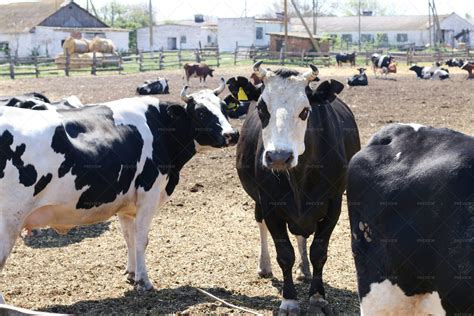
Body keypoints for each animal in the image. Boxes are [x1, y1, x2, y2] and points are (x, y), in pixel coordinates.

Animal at [0, 78, 239, 296]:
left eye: (224, 108)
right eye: (201, 112)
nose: (232, 135)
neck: (160, 127)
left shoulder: (126, 203)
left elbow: (129, 237)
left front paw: (131, 273)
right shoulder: (149, 194)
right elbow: (142, 238)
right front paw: (143, 281)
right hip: (9, 220)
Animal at [235, 61, 362, 314]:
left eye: (305, 111)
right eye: (262, 108)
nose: (279, 157)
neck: (298, 178)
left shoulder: (334, 204)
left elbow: (318, 252)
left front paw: (317, 297)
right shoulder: (270, 205)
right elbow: (284, 254)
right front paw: (289, 300)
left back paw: (304, 270)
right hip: (258, 201)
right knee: (260, 223)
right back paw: (264, 266)